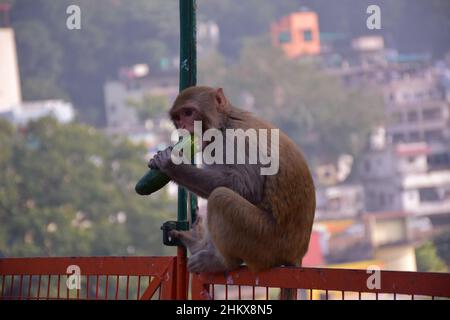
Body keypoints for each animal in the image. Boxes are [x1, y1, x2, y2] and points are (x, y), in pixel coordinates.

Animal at [149, 85, 314, 276]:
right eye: (178, 117)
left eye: (189, 113)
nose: (182, 127)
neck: (225, 122)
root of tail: (296, 254)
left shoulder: (235, 141)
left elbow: (245, 187)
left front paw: (171, 164)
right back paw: (198, 244)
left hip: (265, 241)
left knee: (220, 197)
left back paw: (221, 262)